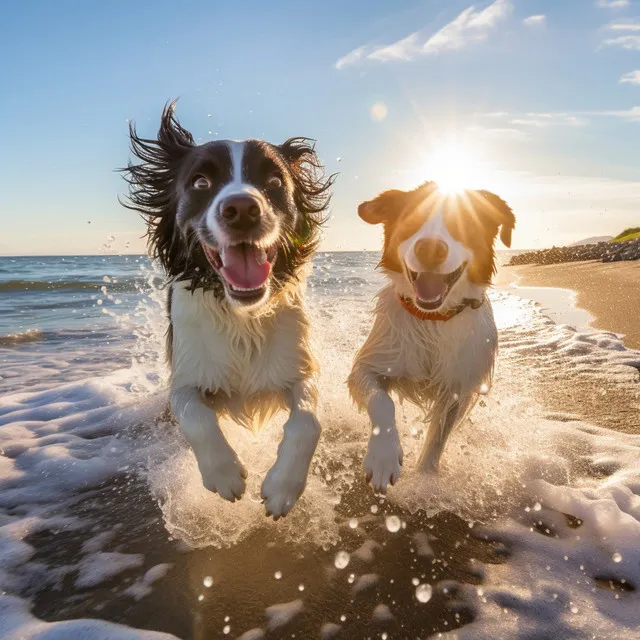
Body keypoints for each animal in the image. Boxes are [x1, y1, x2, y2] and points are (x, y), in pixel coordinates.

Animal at [124, 101, 336, 520]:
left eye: (274, 181)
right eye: (200, 183)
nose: (241, 209)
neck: (240, 315)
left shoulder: (299, 365)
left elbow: (307, 420)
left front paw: (283, 486)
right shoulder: (186, 375)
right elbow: (196, 415)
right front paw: (224, 474)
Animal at [348, 180, 516, 490]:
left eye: (463, 223)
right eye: (412, 221)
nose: (430, 248)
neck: (433, 320)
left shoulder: (458, 386)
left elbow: (437, 438)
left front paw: (425, 477)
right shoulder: (371, 364)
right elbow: (381, 400)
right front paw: (383, 458)